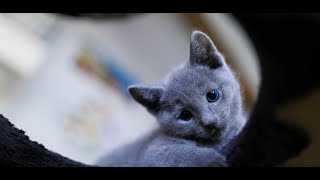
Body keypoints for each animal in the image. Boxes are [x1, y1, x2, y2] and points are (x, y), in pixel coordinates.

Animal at [96, 30, 246, 167]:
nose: (210, 122)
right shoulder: (153, 150)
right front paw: (210, 160)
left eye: (212, 95)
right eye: (185, 115)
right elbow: (179, 153)